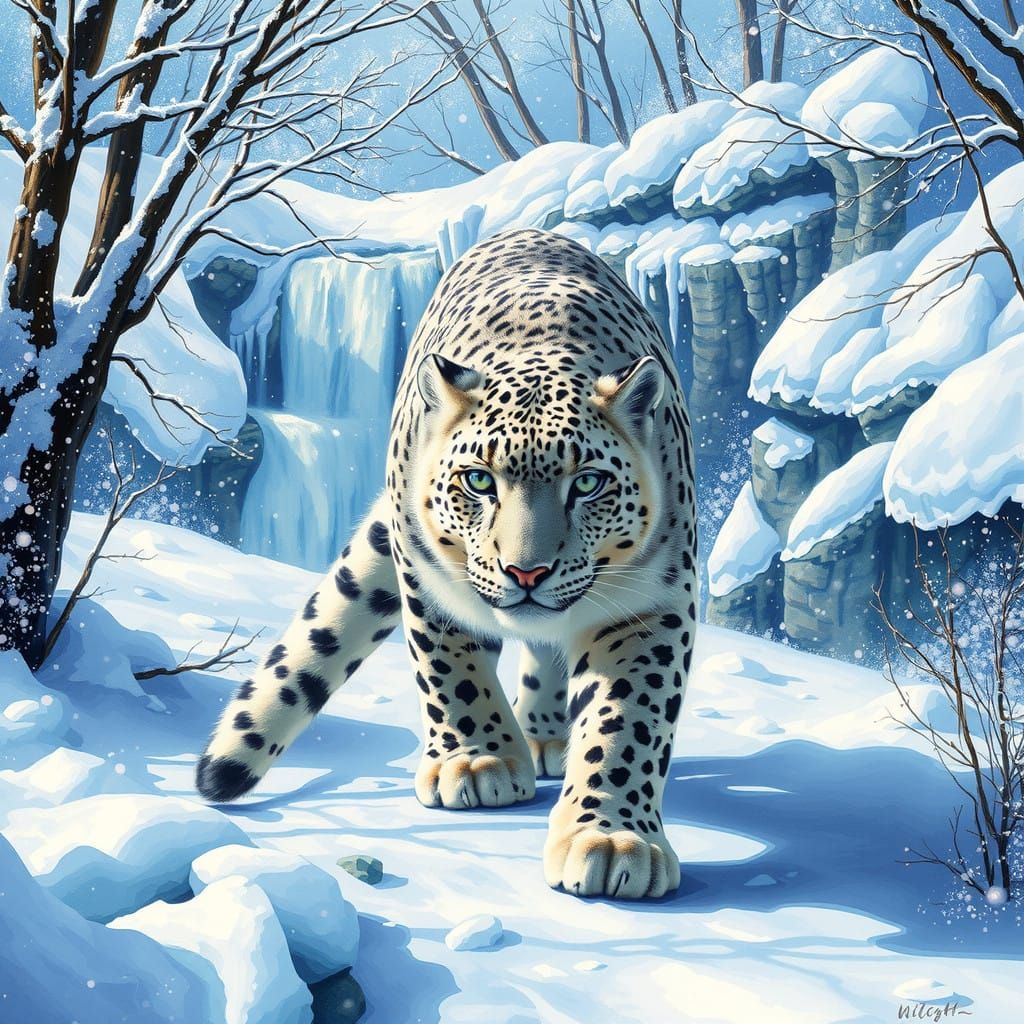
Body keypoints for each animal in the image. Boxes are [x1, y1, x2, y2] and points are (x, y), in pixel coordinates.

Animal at [196, 227, 698, 900]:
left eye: (588, 483)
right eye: (479, 480)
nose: (526, 573)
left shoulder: (651, 603)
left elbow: (628, 720)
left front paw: (613, 840)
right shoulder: (425, 574)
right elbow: (450, 669)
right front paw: (478, 763)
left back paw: (548, 735)